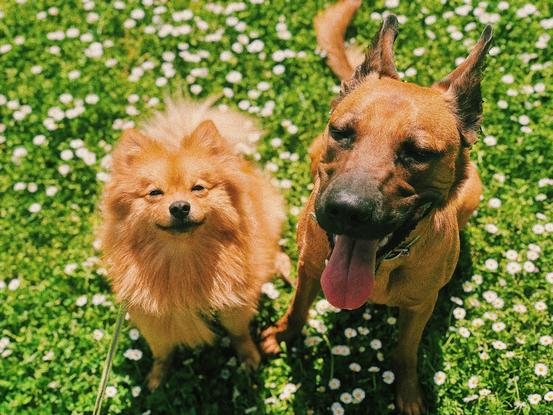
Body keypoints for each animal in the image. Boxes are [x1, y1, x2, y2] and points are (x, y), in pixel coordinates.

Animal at [101, 98, 286, 390]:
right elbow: (162, 352)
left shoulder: (234, 306)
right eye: (155, 193)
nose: (179, 207)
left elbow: (239, 334)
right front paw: (158, 378)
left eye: (198, 188)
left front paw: (249, 358)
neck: (183, 259)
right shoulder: (154, 319)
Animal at [260, 1, 490, 414]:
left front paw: (408, 393)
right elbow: (298, 307)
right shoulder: (309, 269)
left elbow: (405, 352)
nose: (346, 210)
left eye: (418, 153)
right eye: (341, 132)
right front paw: (283, 334)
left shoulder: (419, 307)